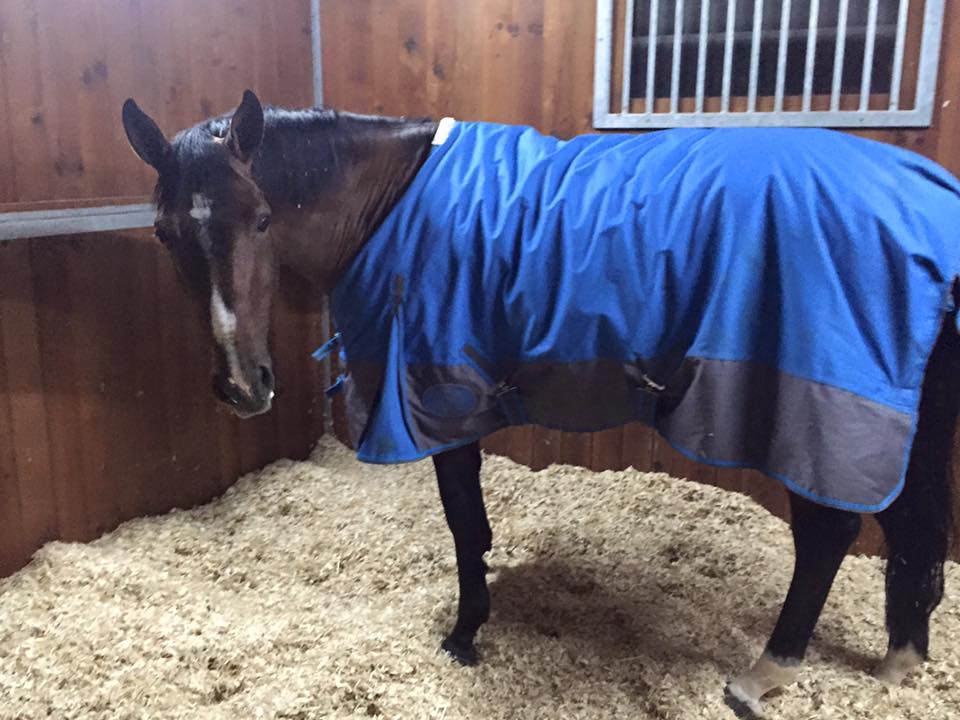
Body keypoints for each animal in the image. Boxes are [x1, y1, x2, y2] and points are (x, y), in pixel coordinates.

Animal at [121, 90, 960, 718]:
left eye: (262, 219)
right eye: (163, 234)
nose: (243, 385)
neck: (392, 201)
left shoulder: (443, 400)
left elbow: (465, 526)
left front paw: (465, 635)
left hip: (813, 418)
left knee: (830, 532)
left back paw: (766, 675)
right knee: (907, 526)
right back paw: (899, 663)